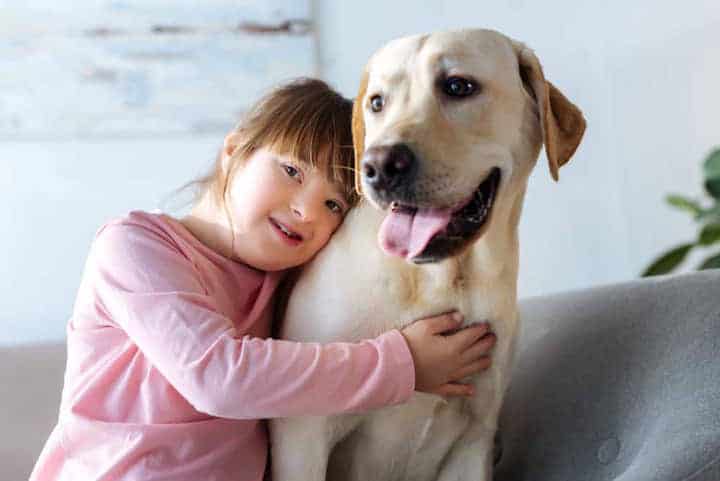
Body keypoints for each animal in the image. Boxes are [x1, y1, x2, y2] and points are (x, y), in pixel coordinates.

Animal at [270, 28, 584, 478]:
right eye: (377, 102)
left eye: (458, 86)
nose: (379, 166)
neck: (444, 280)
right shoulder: (302, 434)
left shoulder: (474, 439)